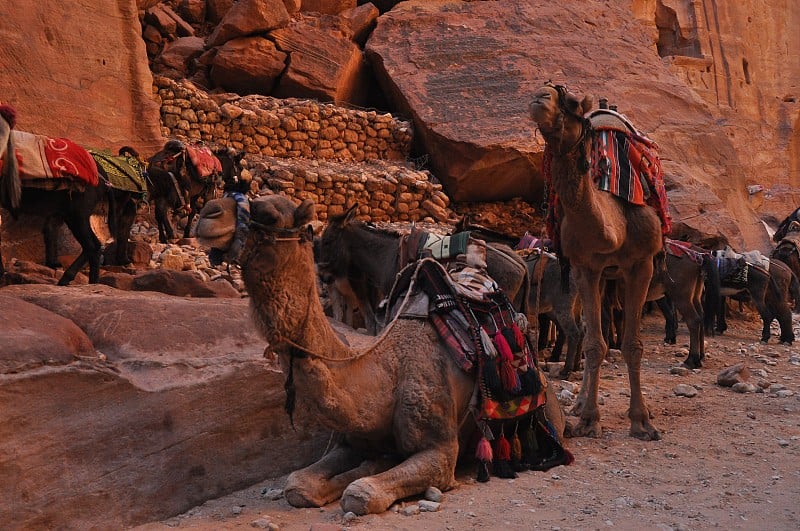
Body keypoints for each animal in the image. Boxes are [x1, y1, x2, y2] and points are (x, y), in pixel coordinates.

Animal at [198, 195, 564, 516]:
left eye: (272, 215)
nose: (208, 213)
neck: (383, 376)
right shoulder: (349, 441)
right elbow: (297, 485)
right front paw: (362, 467)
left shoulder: (442, 451)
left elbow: (360, 493)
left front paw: (363, 478)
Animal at [532, 83, 668, 440]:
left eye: (570, 102)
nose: (540, 96)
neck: (615, 226)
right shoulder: (585, 268)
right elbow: (595, 344)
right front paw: (589, 419)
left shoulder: (642, 265)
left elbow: (632, 345)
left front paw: (642, 421)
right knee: (588, 332)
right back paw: (580, 405)